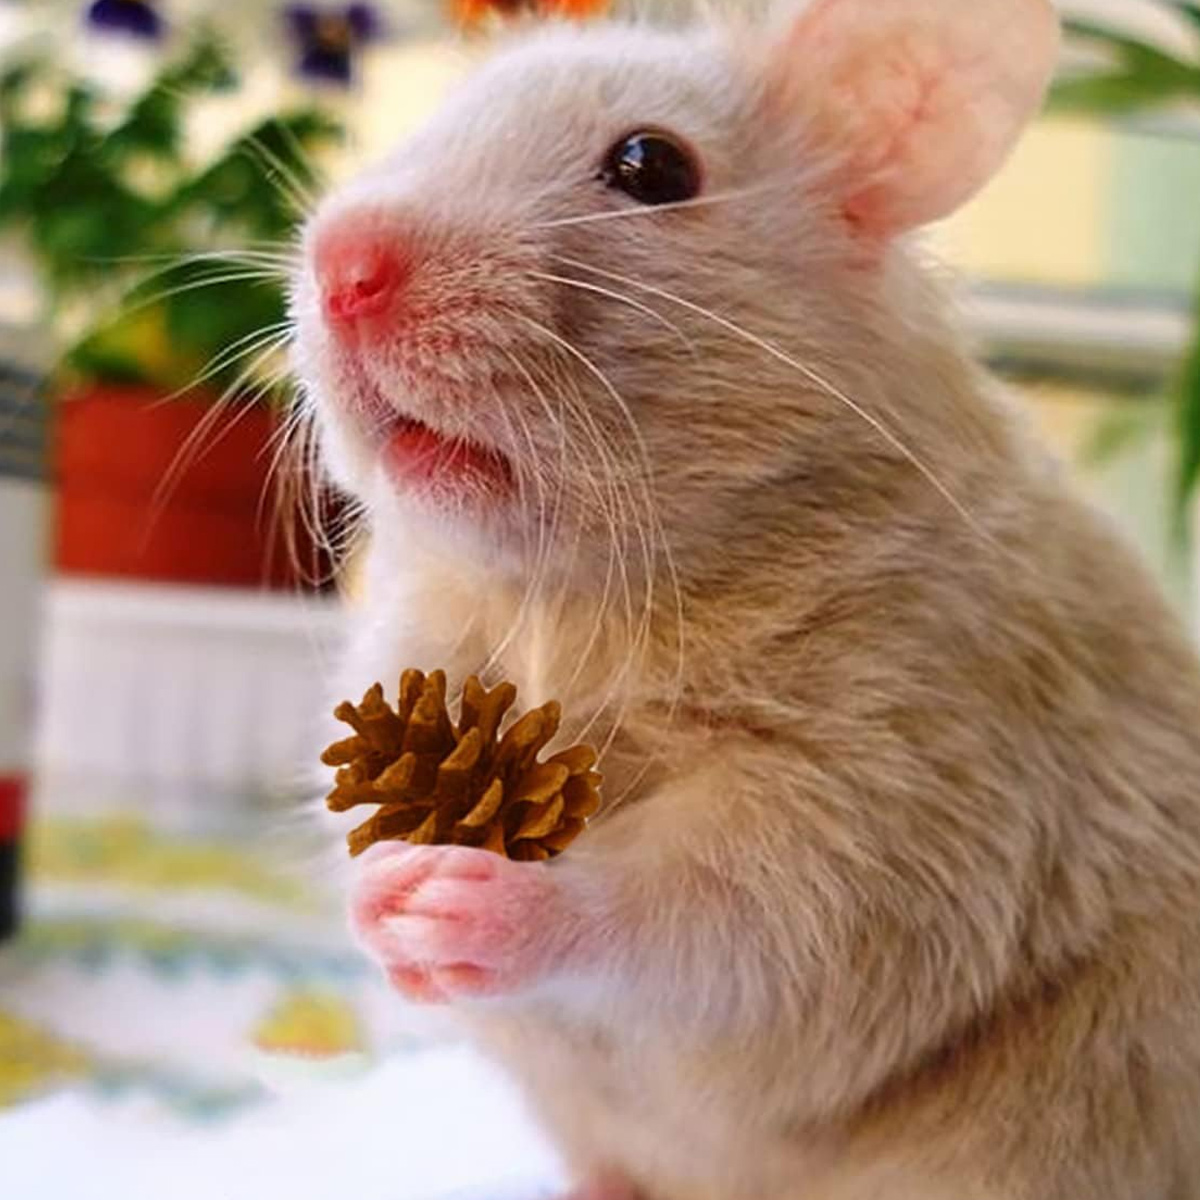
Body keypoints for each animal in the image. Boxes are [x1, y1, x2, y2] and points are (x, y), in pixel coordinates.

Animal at [288, 1, 1200, 1197]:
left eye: (652, 165)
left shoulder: (896, 802)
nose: (341, 264)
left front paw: (453, 898)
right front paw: (385, 893)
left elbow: (707, 911)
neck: (575, 591)